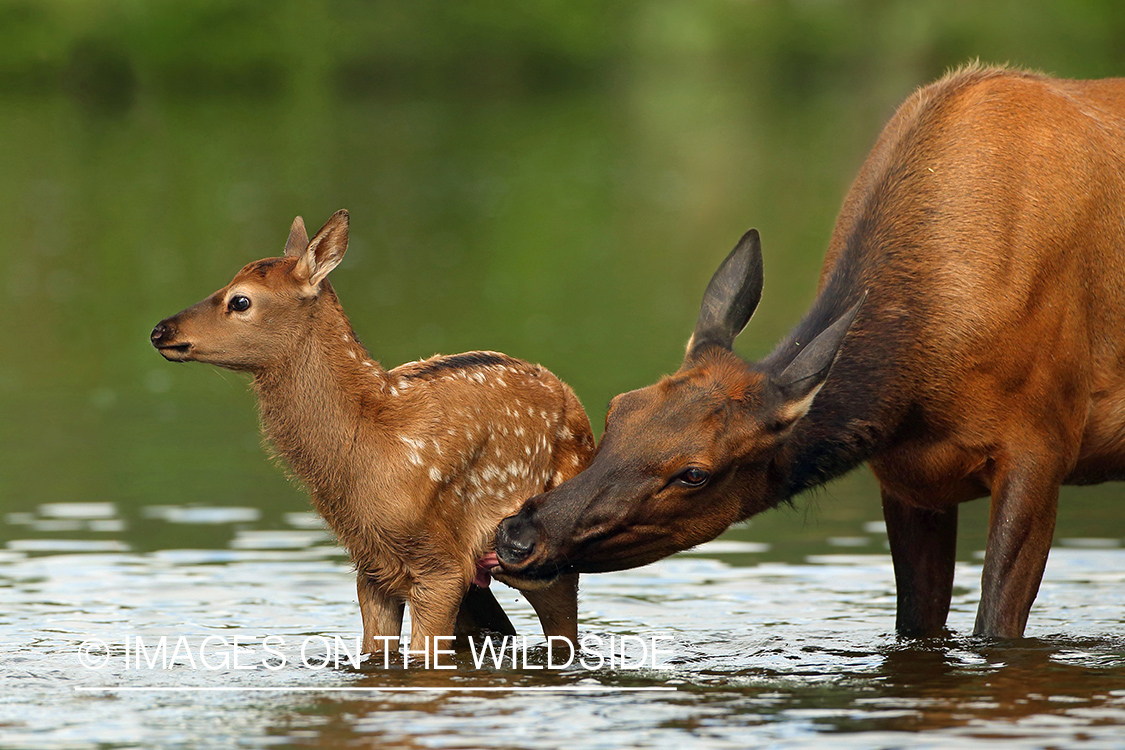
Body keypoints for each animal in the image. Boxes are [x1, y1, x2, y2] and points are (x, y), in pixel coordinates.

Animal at [150, 210, 598, 656]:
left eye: (240, 300)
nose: (160, 330)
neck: (369, 447)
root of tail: (571, 398)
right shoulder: (372, 568)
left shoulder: (441, 566)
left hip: (549, 554)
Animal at [492, 66, 1125, 638]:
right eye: (618, 408)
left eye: (695, 473)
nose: (519, 535)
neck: (918, 385)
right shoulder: (906, 480)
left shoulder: (1042, 445)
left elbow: (994, 627)